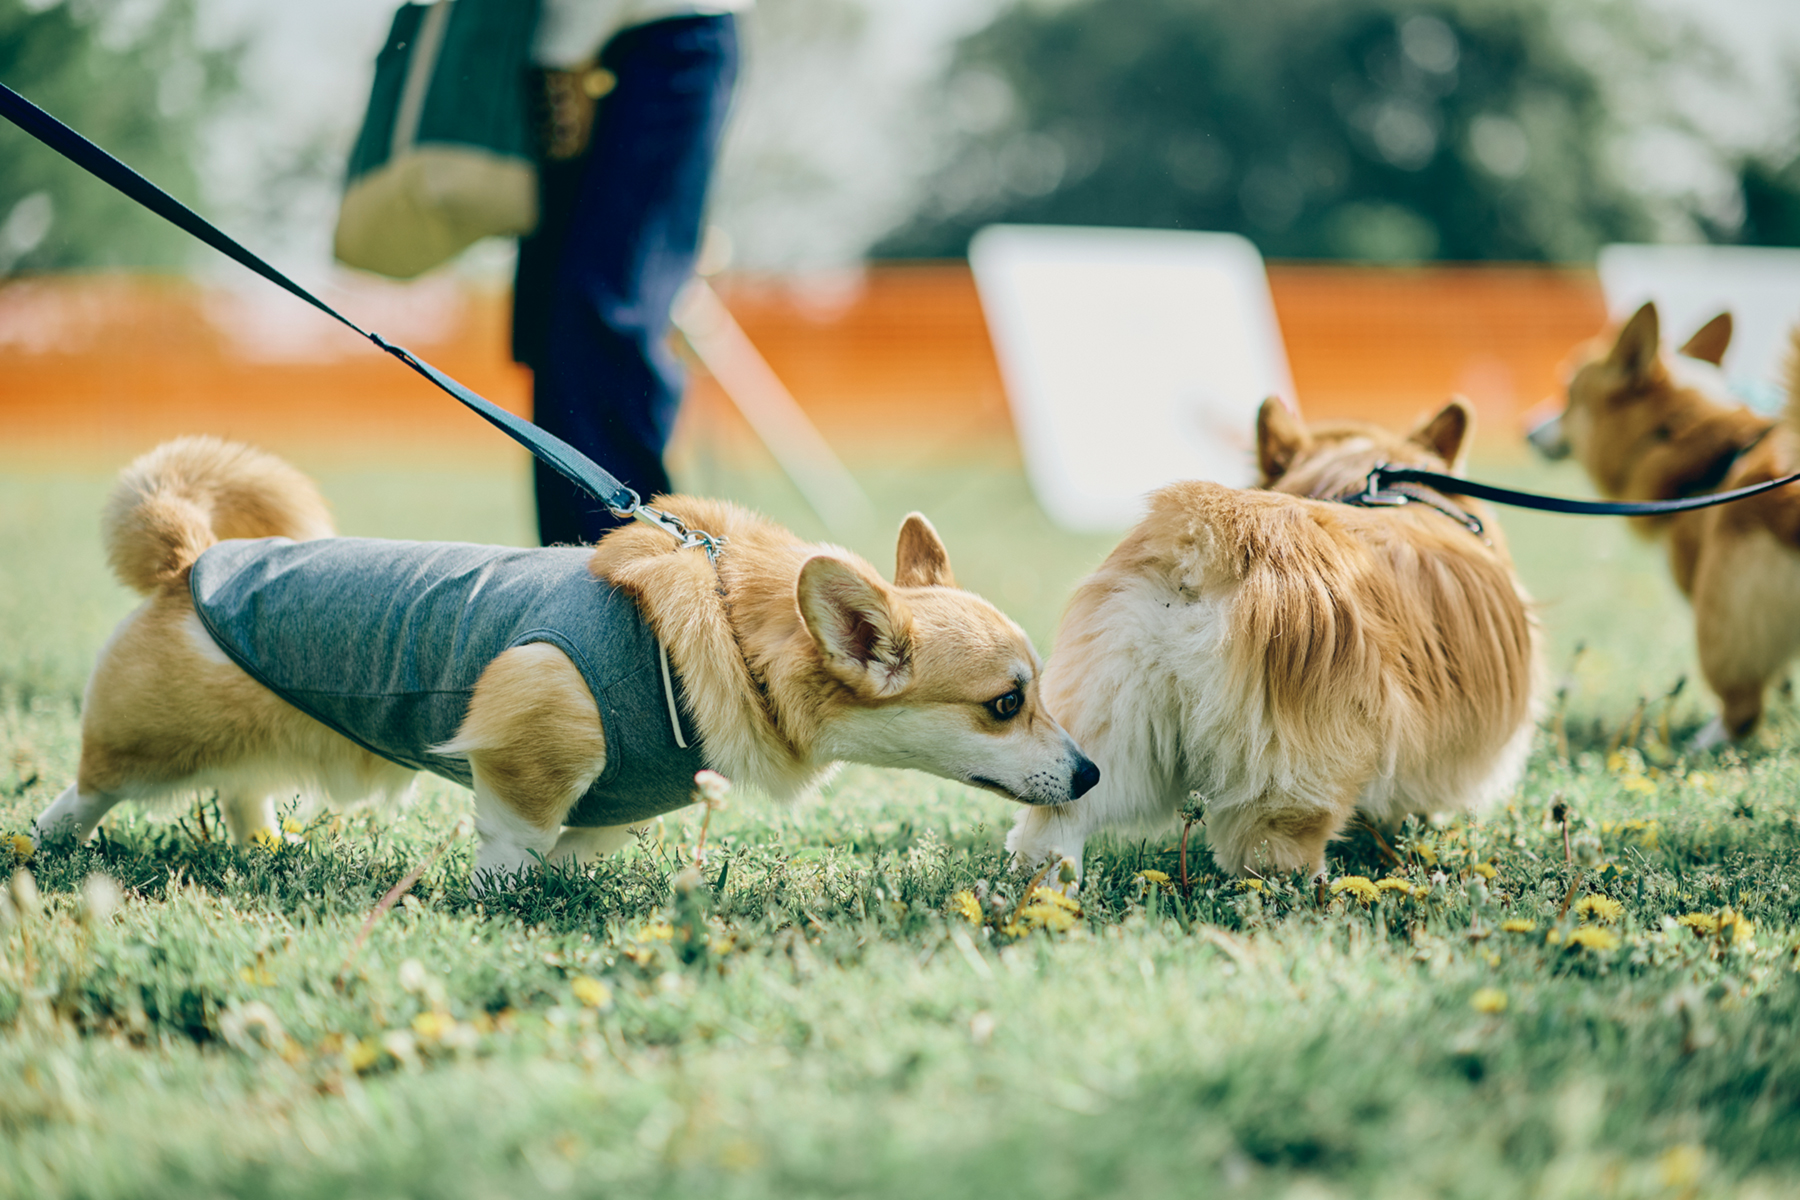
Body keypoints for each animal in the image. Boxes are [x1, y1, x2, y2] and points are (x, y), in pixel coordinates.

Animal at [35, 437, 1094, 877]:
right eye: (1007, 703)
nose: (1089, 774)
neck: (730, 638)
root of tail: (190, 561)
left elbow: (584, 840)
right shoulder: (530, 746)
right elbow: (516, 835)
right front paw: (505, 896)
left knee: (241, 790)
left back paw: (268, 849)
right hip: (141, 743)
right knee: (86, 791)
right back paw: (44, 846)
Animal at [1519, 305, 1800, 744]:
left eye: (1568, 395)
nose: (1526, 430)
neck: (1675, 433)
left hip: (1718, 619)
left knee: (1741, 706)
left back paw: (1705, 741)